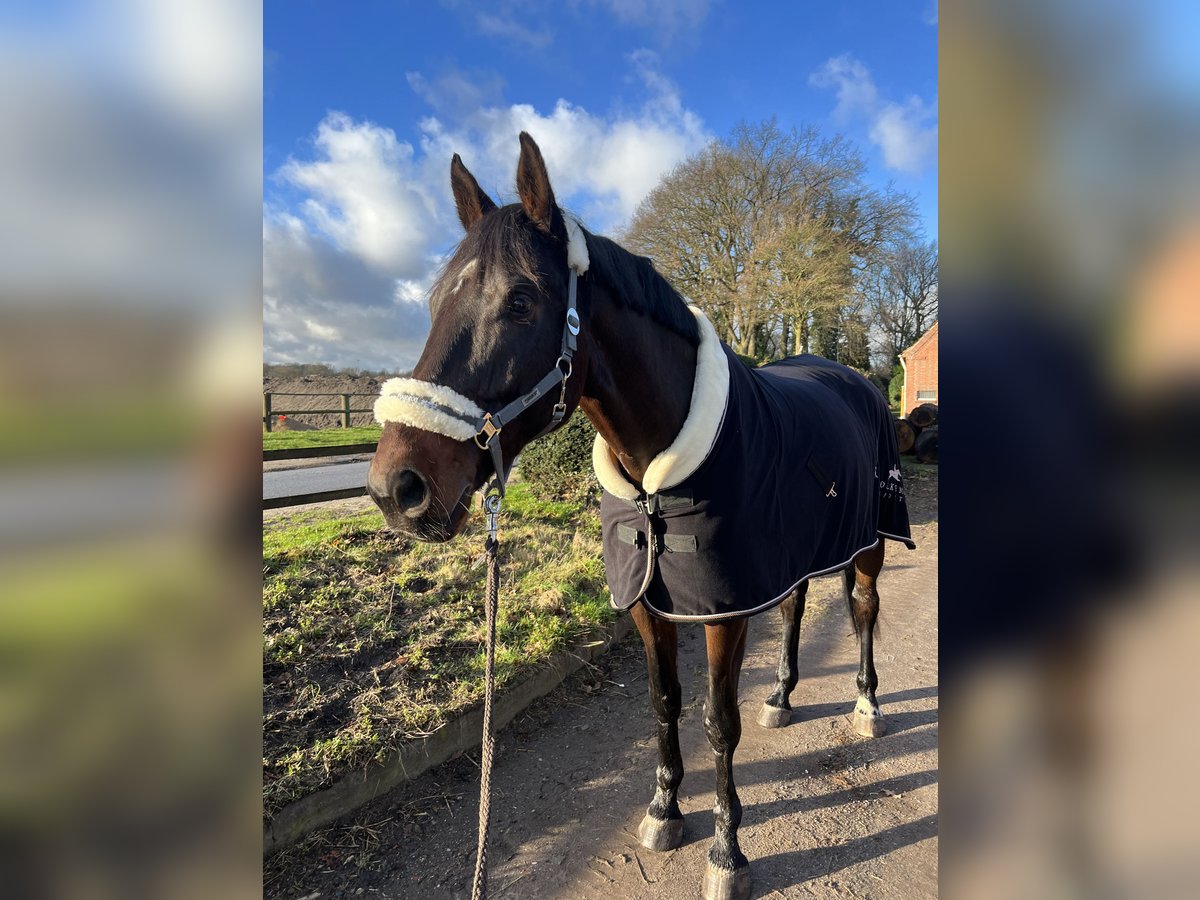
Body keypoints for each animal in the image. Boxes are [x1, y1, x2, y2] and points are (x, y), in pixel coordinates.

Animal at [362, 133, 907, 900]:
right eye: (437, 300)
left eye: (521, 300)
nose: (396, 488)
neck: (659, 470)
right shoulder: (649, 602)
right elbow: (664, 703)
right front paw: (664, 810)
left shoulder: (722, 610)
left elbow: (717, 722)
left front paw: (727, 852)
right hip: (790, 555)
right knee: (797, 608)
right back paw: (781, 694)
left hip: (869, 545)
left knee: (861, 610)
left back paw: (866, 706)